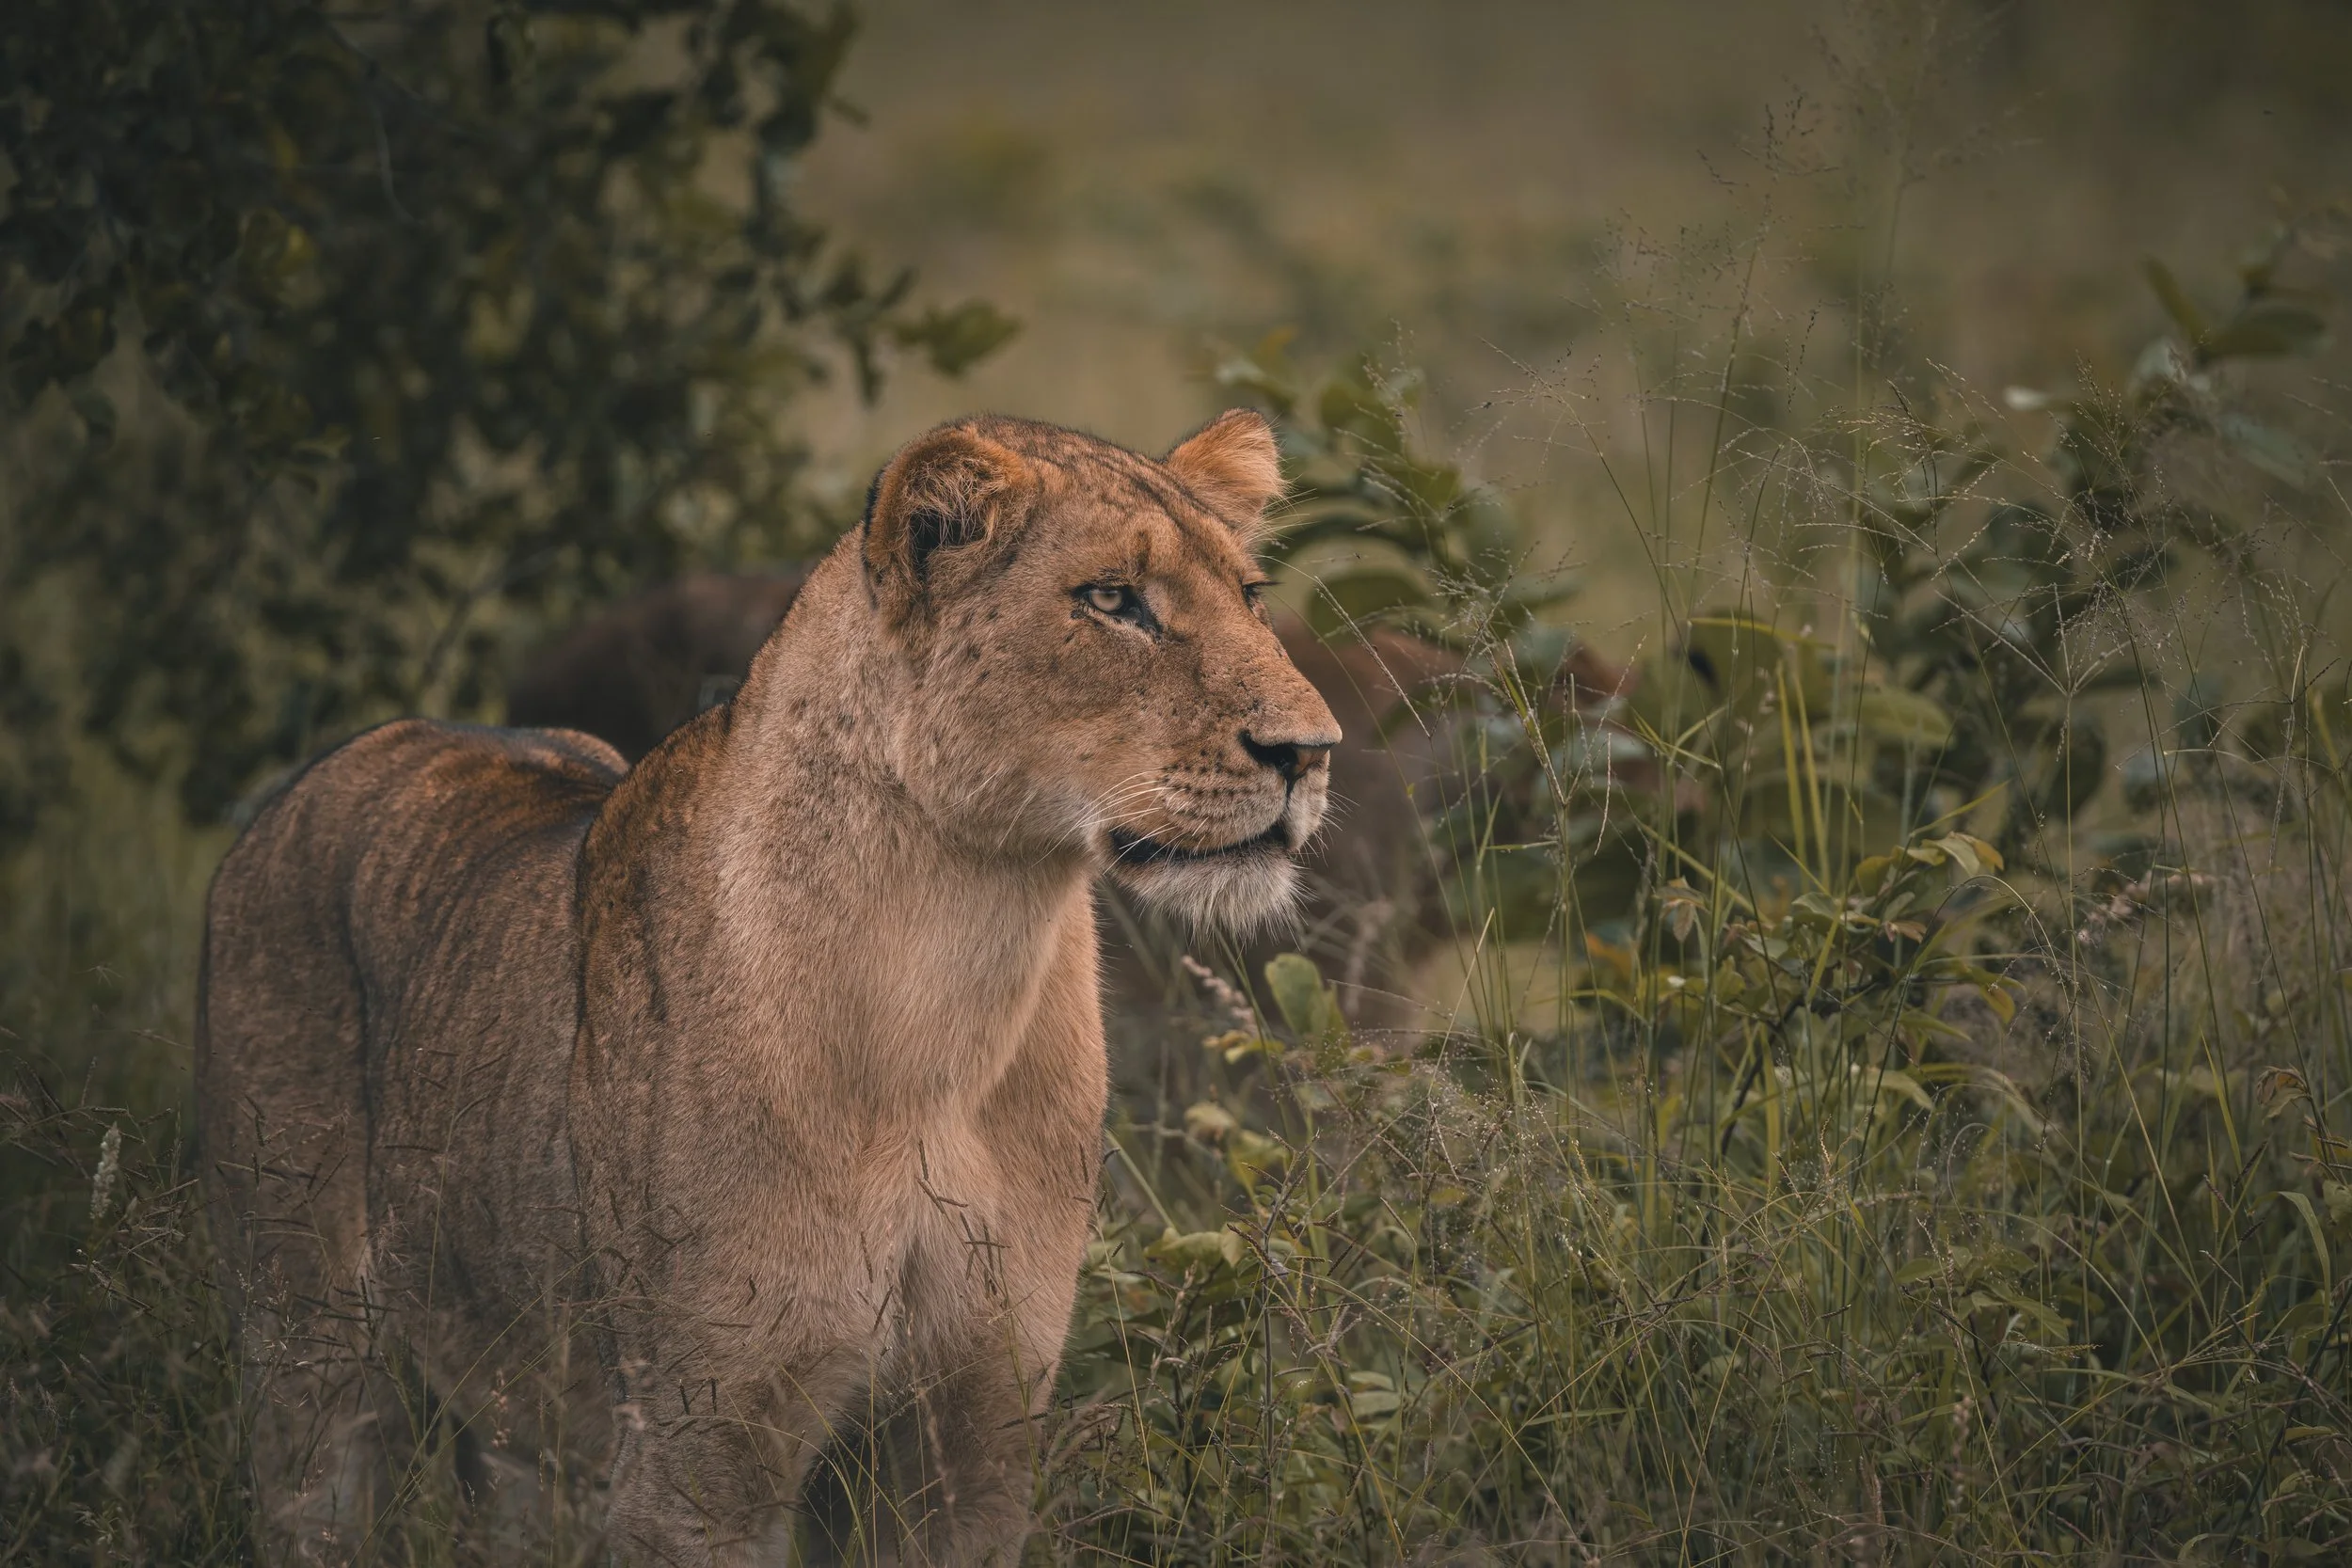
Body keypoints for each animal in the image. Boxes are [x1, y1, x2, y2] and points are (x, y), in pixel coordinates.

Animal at [195, 410, 1341, 1565]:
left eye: (1250, 595)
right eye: (1111, 599)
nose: (1309, 751)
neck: (956, 986)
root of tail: (332, 763)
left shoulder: (970, 1438)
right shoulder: (700, 1452)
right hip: (309, 1354)